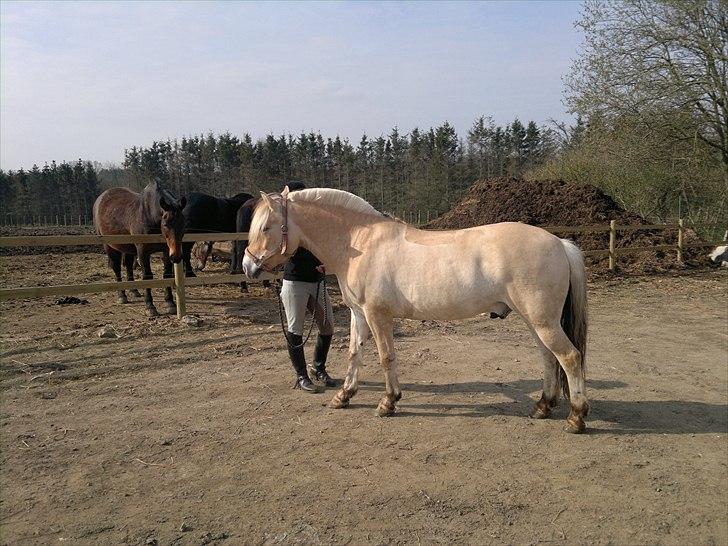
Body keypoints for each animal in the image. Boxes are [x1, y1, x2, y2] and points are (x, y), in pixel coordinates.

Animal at [92, 178, 188, 314]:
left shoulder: (166, 250)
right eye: (165, 224)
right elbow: (147, 276)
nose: (176, 256)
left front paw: (170, 303)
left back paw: (134, 291)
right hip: (109, 246)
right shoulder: (143, 250)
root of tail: (101, 198)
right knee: (116, 268)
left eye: (183, 223)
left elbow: (167, 274)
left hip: (128, 248)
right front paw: (150, 306)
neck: (149, 214)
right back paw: (122, 296)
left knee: (128, 266)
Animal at [245, 188, 592, 434]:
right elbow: (355, 354)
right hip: (536, 321)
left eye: (266, 227)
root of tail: (560, 243)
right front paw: (343, 396)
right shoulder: (359, 314)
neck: (359, 242)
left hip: (542, 320)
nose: (248, 266)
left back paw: (576, 418)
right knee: (549, 358)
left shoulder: (377, 315)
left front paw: (388, 402)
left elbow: (386, 357)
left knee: (570, 358)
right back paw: (543, 407)